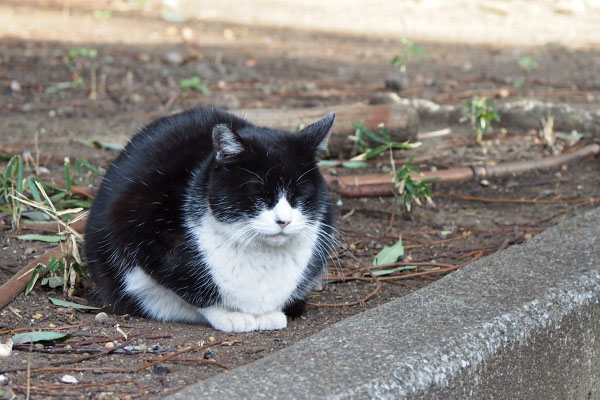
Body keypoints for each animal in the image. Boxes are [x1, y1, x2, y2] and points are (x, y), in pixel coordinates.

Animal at [84, 108, 336, 332]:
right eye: (259, 195)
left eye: (299, 196)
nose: (284, 221)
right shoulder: (142, 235)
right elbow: (192, 291)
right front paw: (231, 316)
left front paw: (270, 314)